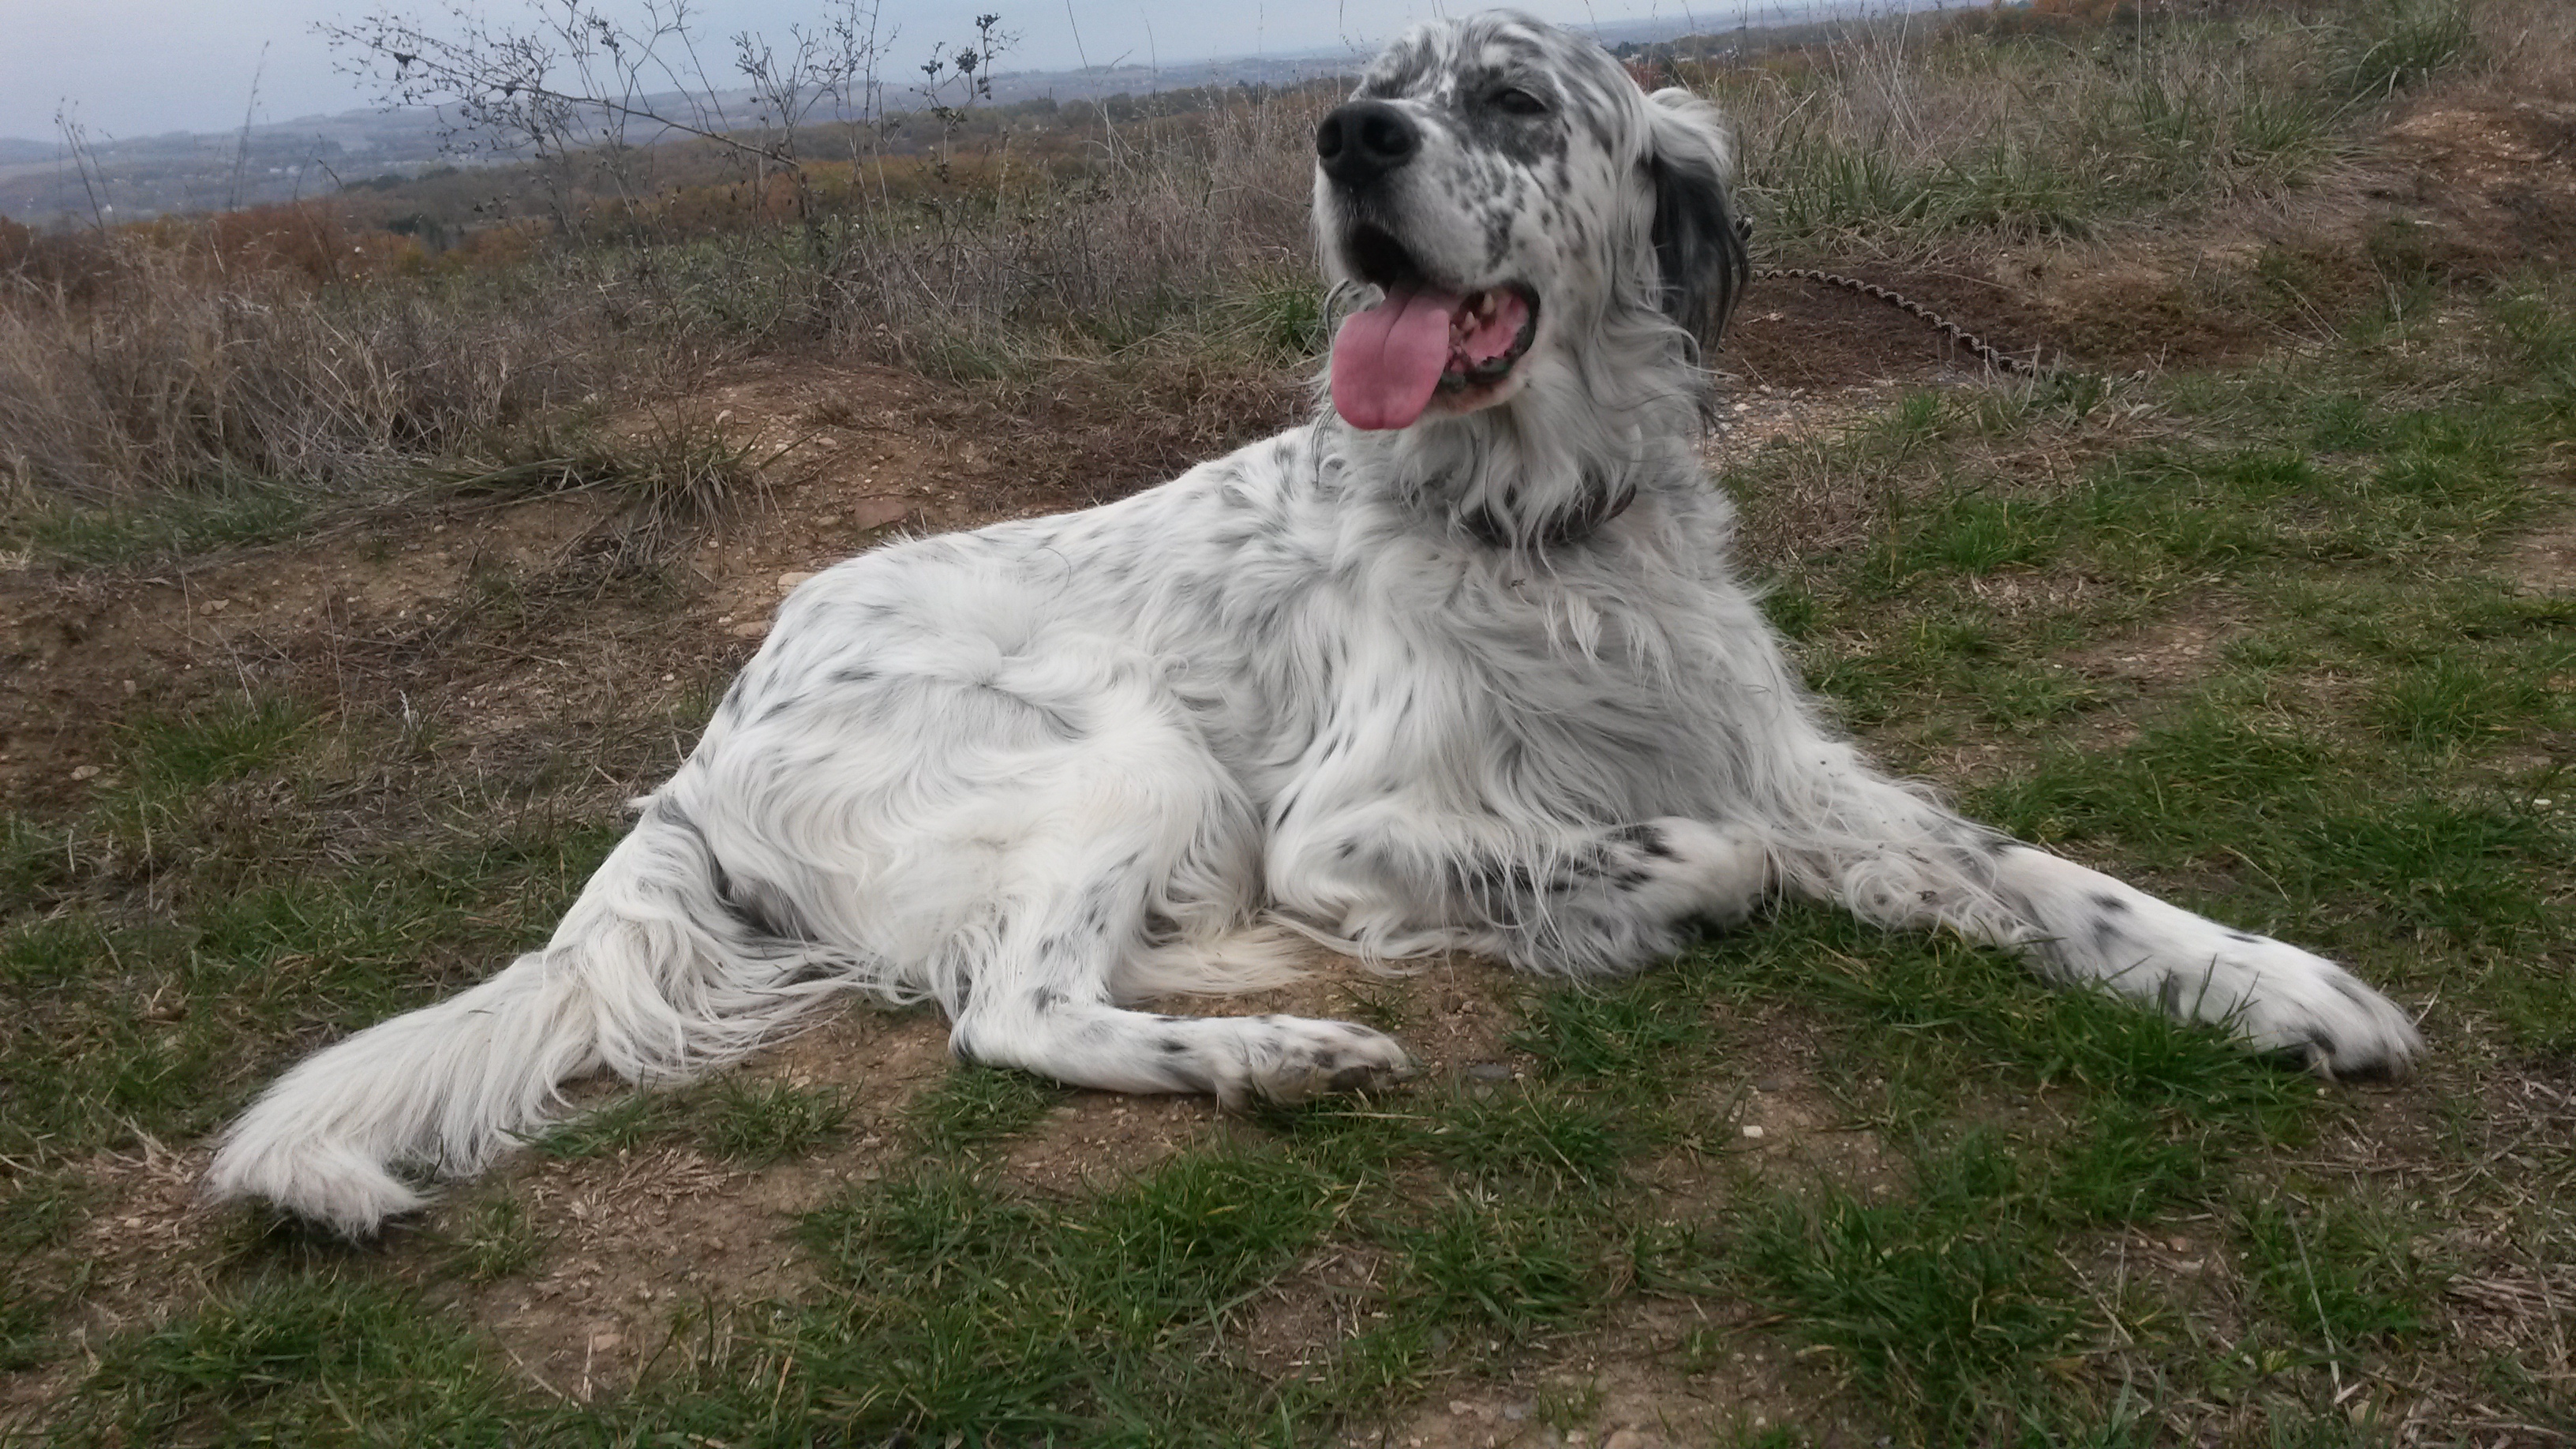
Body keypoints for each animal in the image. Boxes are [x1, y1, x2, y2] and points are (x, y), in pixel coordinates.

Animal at [206, 11, 2421, 1237]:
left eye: (1511, 101)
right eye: (1372, 93)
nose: (1347, 139)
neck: (1538, 526)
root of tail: (705, 733)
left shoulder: (1773, 744)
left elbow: (2034, 871)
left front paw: (2277, 983)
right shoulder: (1351, 823)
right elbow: (1701, 853)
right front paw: (1659, 908)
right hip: (1137, 751)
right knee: (1011, 1007)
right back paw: (1277, 1047)